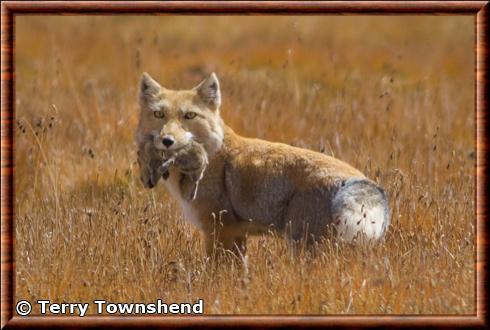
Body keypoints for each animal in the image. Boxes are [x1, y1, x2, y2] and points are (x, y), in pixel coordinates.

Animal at [135, 72, 390, 256]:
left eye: (189, 116)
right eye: (159, 115)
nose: (167, 140)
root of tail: (362, 181)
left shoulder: (219, 230)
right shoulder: (235, 234)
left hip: (304, 248)